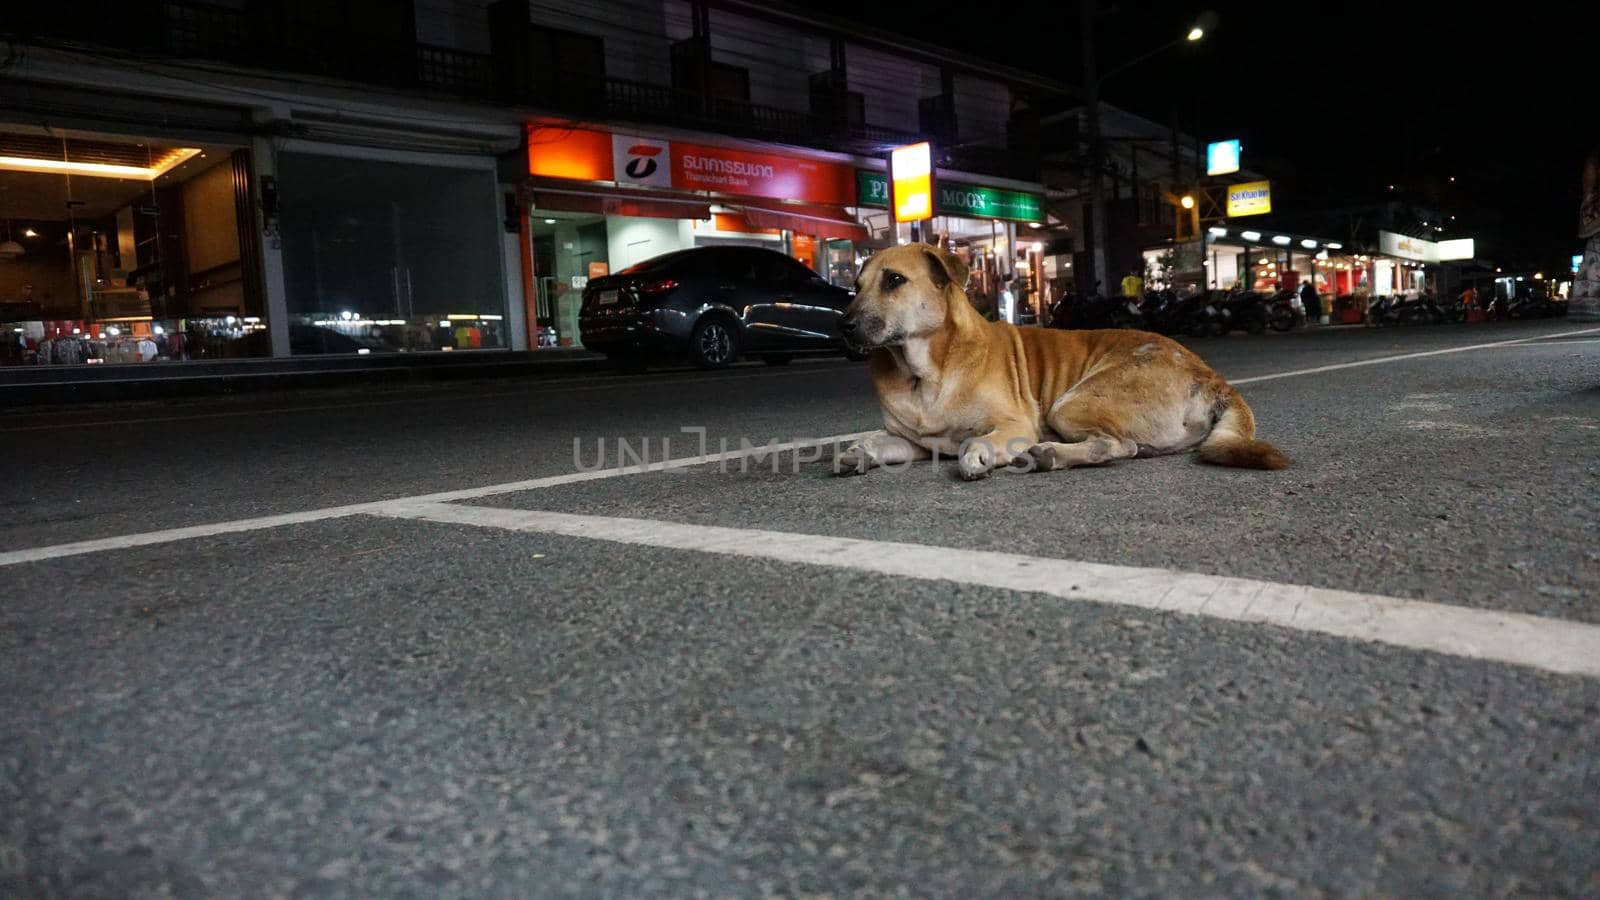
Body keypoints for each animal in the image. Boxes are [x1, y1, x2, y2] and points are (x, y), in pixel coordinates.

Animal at [838, 238, 1286, 477]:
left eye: (894, 280)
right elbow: (878, 441)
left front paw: (977, 452)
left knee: (1119, 445)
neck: (925, 372)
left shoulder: (1013, 423)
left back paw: (1051, 453)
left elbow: (977, 439)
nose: (843, 326)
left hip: (1070, 403)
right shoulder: (911, 441)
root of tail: (1211, 376)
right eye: (856, 285)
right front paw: (859, 451)